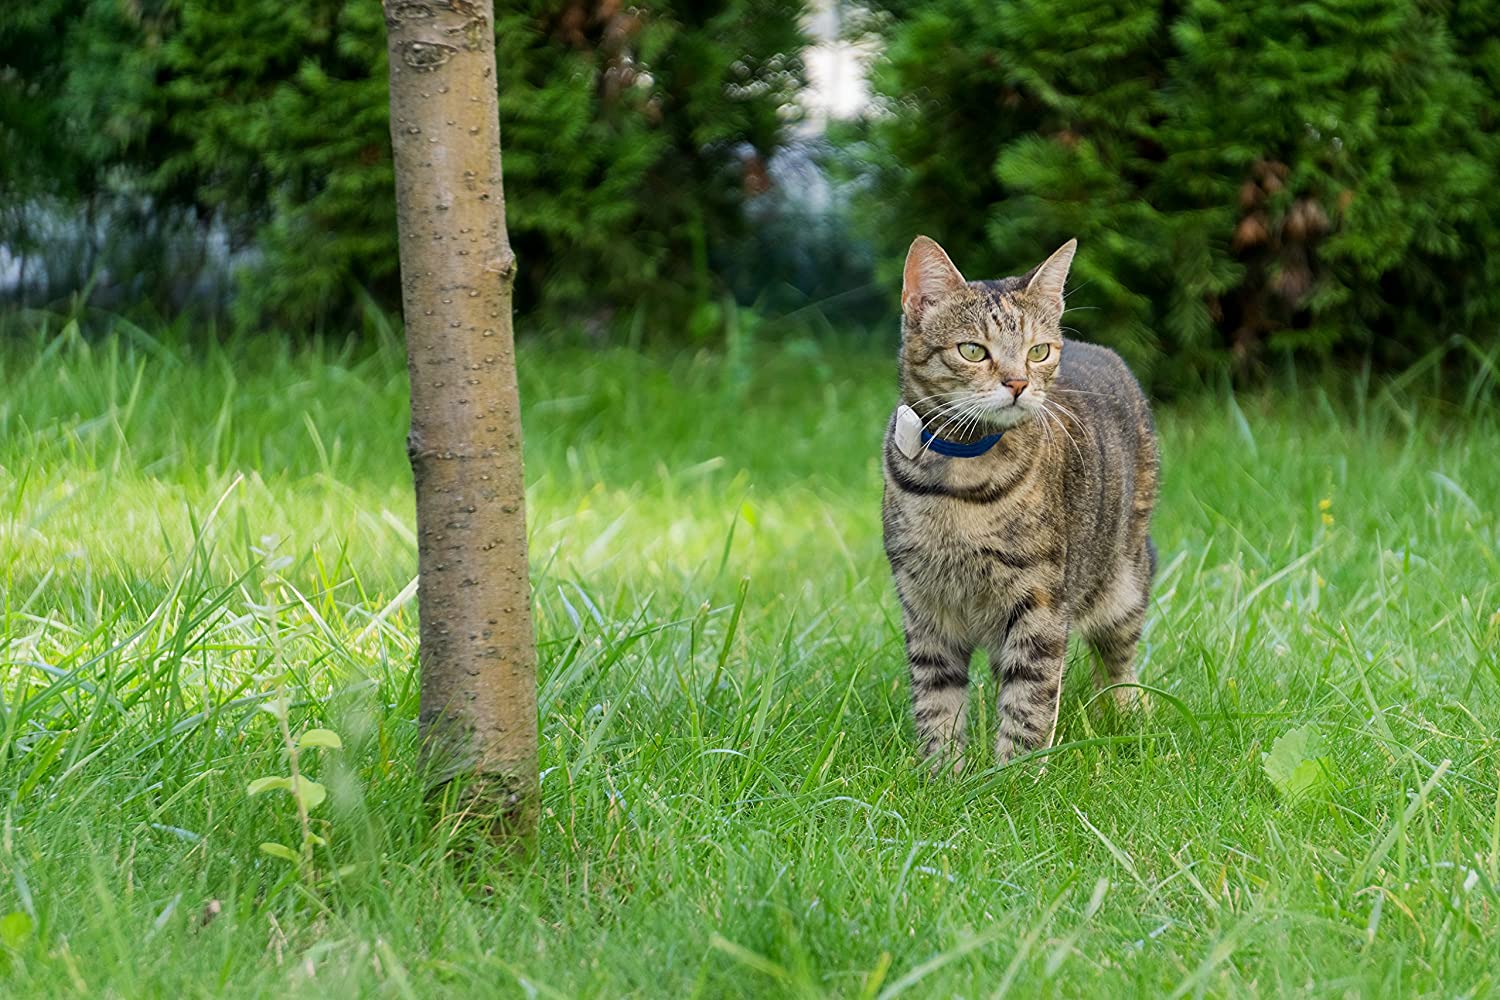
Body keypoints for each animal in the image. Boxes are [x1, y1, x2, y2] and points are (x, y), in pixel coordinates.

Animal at [876, 238, 1158, 773]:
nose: (1018, 383)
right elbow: (936, 698)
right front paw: (941, 774)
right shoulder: (925, 604)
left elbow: (1029, 698)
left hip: (1124, 583)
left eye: (1038, 351)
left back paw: (1127, 712)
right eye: (972, 350)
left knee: (1117, 660)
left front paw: (1015, 778)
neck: (960, 484)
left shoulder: (1040, 602)